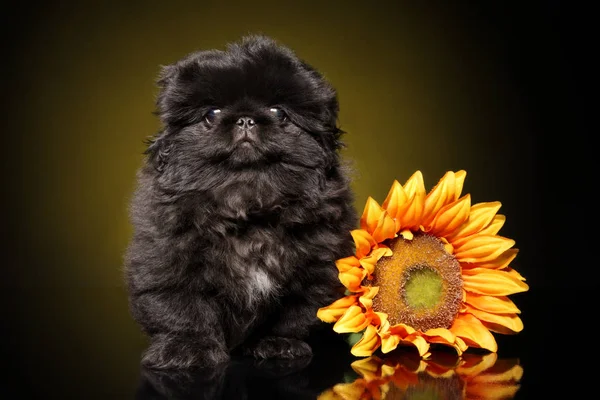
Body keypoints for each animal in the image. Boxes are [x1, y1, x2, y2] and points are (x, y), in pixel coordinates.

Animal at [122, 36, 356, 370]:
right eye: (211, 114)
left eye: (279, 113)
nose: (246, 119)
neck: (248, 206)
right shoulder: (167, 260)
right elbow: (182, 309)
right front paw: (188, 348)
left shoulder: (316, 269)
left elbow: (294, 315)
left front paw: (278, 343)